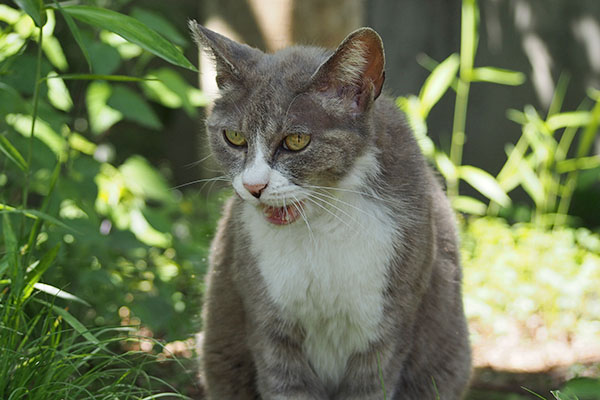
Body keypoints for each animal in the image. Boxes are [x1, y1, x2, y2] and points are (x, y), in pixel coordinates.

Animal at [190, 21, 472, 400]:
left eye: (296, 141)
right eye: (233, 137)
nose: (253, 186)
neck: (322, 225)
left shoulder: (386, 326)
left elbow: (372, 383)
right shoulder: (269, 323)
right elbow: (286, 384)